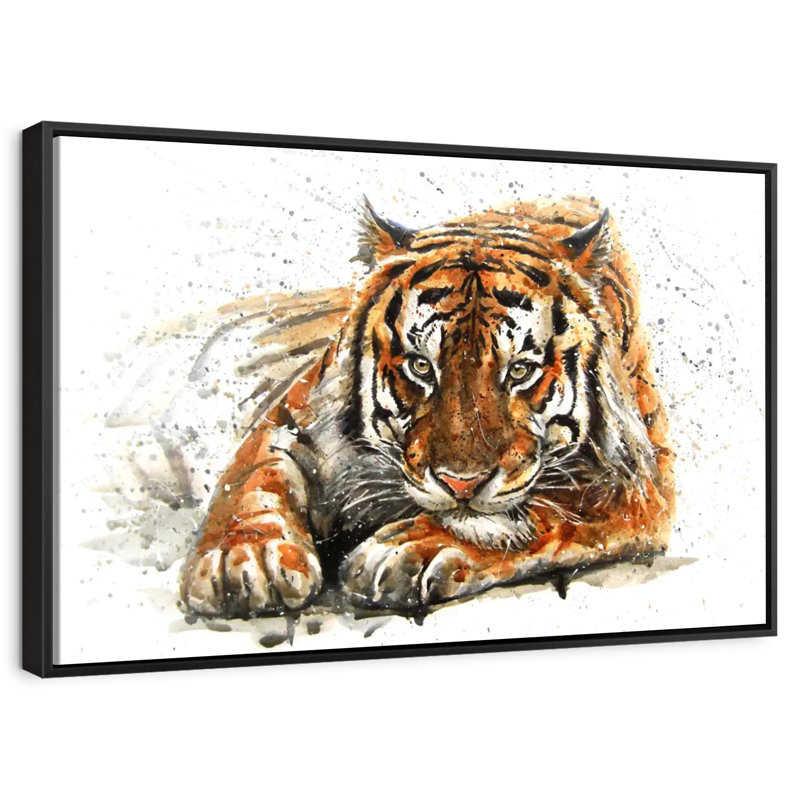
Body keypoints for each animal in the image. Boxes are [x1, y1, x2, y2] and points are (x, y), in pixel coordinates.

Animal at [179, 195, 674, 616]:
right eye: (421, 366)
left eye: (519, 371)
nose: (461, 484)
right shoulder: (294, 413)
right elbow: (251, 476)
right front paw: (244, 557)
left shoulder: (639, 481)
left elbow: (547, 509)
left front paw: (409, 550)